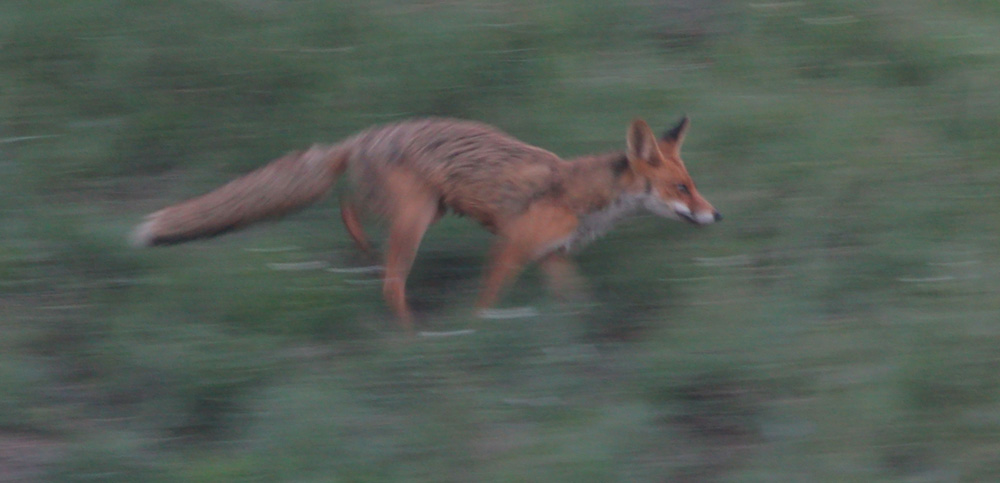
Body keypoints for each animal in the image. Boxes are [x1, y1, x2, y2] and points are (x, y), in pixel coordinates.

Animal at [133, 116, 720, 332]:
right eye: (682, 188)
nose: (717, 215)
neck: (583, 195)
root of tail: (363, 136)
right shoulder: (509, 248)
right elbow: (487, 301)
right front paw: (478, 333)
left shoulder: (551, 257)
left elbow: (576, 301)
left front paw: (582, 333)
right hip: (415, 219)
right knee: (391, 281)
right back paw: (413, 339)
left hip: (424, 210)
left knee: (349, 208)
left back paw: (364, 252)